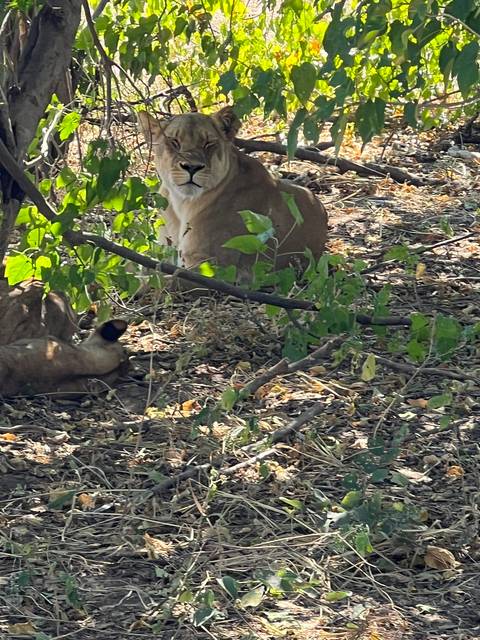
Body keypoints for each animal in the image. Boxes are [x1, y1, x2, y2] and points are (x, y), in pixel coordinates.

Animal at [138, 107, 328, 281]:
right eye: (174, 142)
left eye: (208, 143)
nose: (192, 167)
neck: (181, 204)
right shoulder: (165, 250)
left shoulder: (212, 267)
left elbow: (156, 281)